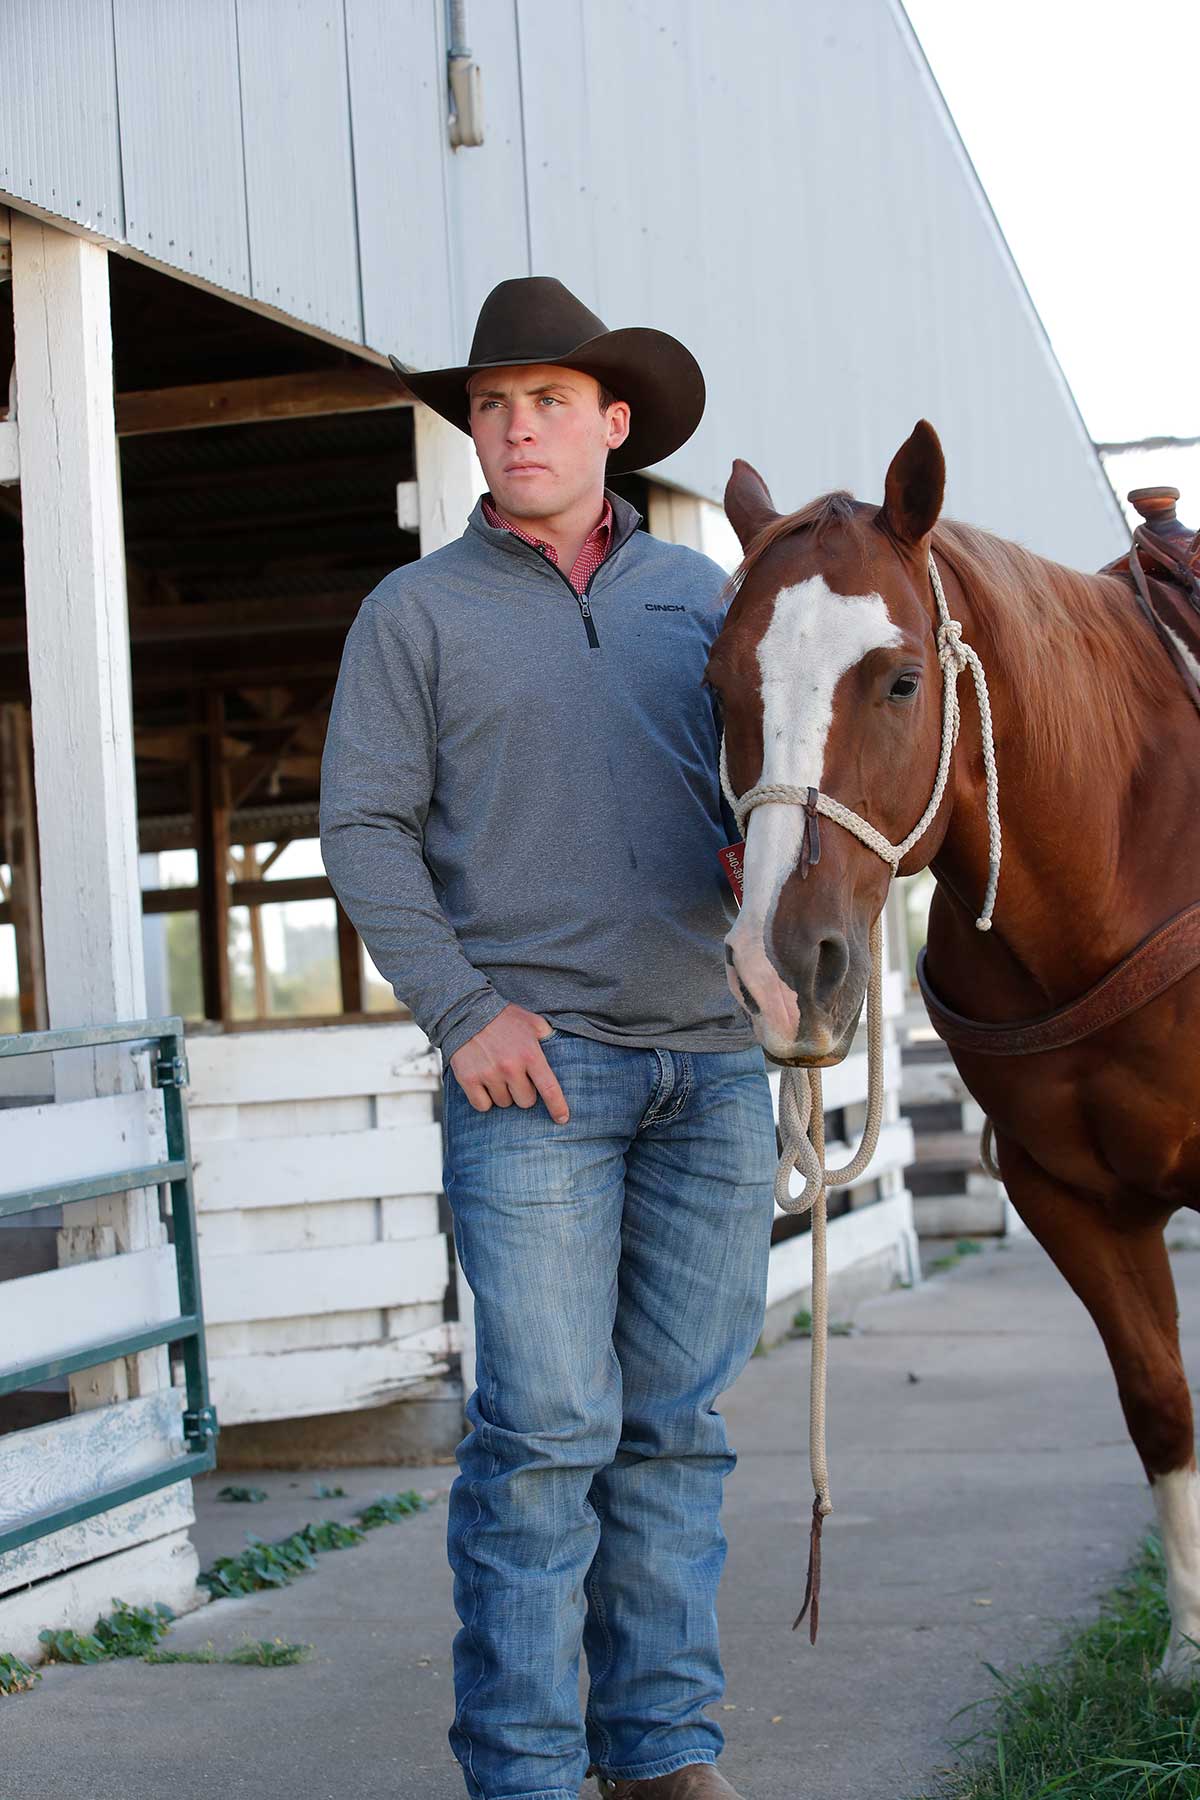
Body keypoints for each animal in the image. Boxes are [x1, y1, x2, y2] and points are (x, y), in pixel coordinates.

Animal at [708, 421, 1200, 1679]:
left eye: (900, 680)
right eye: (717, 685)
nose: (782, 970)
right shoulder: (1067, 1194)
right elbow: (1158, 1403)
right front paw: (1186, 1651)